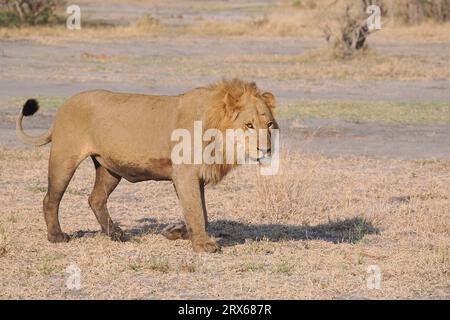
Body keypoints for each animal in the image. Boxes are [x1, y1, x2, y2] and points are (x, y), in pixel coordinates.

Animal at [16, 78, 278, 252]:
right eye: (249, 125)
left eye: (269, 124)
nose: (266, 149)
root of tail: (64, 106)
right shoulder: (185, 174)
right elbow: (195, 210)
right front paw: (203, 244)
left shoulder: (196, 177)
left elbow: (202, 213)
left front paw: (177, 232)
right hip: (64, 158)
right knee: (50, 199)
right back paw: (56, 236)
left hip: (109, 169)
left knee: (96, 199)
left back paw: (117, 234)